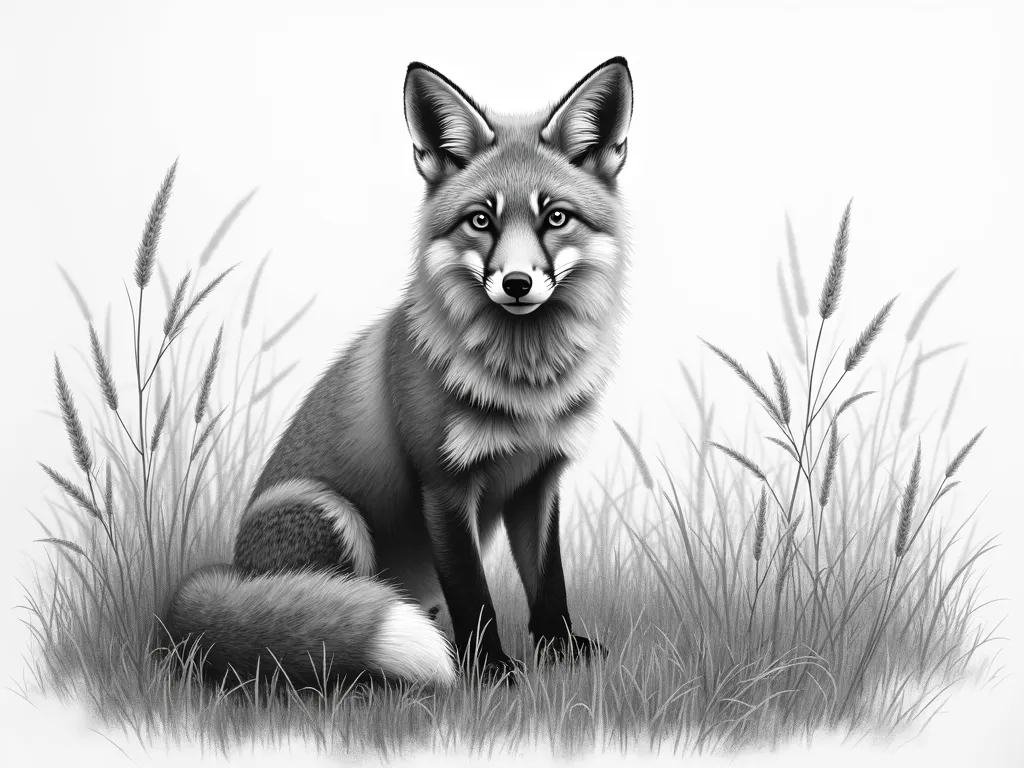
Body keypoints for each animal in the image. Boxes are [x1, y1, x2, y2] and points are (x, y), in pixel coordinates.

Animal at [165, 56, 634, 690]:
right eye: (480, 220)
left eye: (555, 217)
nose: (516, 283)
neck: (527, 387)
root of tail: (229, 573)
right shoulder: (444, 485)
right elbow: (474, 596)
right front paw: (490, 671)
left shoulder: (539, 480)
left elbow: (548, 583)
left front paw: (560, 652)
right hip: (330, 513)